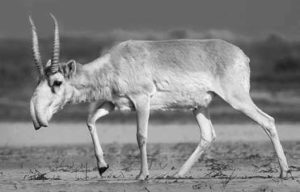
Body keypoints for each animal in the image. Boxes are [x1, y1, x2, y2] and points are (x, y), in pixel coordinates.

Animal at [29, 15, 290, 180]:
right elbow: (90, 121)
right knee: (208, 135)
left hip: (237, 99)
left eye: (57, 82)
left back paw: (284, 172)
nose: (37, 119)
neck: (114, 62)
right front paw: (103, 167)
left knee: (268, 121)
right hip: (199, 106)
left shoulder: (142, 101)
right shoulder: (113, 103)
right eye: (39, 80)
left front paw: (142, 174)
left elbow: (141, 136)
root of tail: (241, 55)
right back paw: (176, 174)